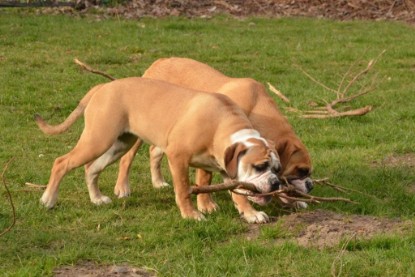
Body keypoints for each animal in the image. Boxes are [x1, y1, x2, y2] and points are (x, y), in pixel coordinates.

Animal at [36, 76, 282, 221]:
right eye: (260, 167)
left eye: (277, 169)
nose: (275, 182)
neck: (220, 126)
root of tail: (103, 86)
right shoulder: (178, 157)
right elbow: (183, 189)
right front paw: (191, 214)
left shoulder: (227, 169)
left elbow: (239, 194)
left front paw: (250, 214)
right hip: (97, 140)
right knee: (62, 162)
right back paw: (48, 200)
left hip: (118, 145)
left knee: (91, 168)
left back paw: (96, 199)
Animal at [114, 56, 312, 216]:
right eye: (300, 170)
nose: (310, 184)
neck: (257, 110)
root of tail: (159, 61)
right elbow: (204, 179)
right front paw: (206, 205)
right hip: (137, 132)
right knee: (127, 158)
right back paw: (122, 188)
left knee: (154, 151)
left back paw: (158, 182)